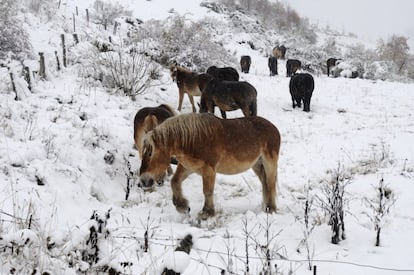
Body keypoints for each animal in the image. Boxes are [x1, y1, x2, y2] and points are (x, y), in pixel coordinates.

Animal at [140, 112, 282, 220]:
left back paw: (270, 208)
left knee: (270, 184)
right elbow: (174, 182)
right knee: (265, 183)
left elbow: (207, 191)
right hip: (257, 165)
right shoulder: (188, 167)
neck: (193, 140)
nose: (143, 181)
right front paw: (183, 206)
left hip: (269, 163)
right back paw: (266, 206)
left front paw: (206, 213)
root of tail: (274, 128)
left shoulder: (209, 170)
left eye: (150, 153)